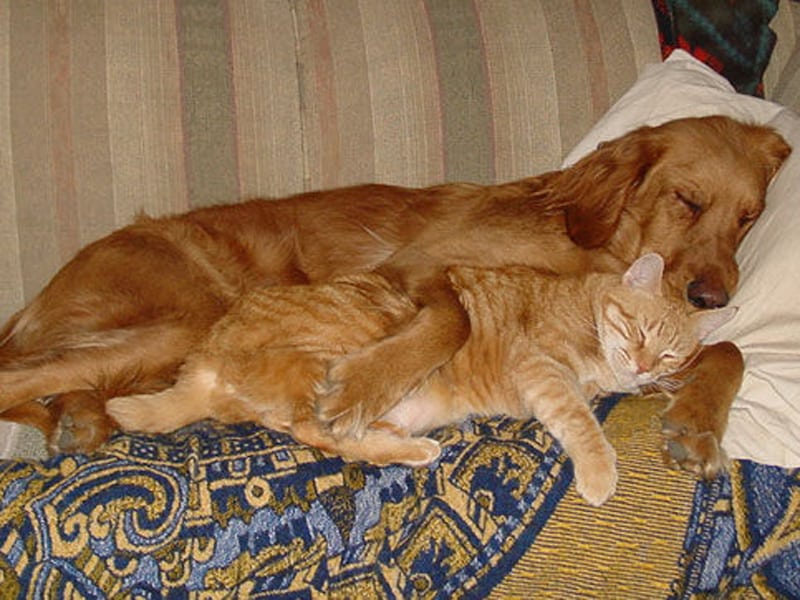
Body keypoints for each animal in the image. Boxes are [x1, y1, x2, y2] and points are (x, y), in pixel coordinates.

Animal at [0, 115, 792, 476]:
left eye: (749, 215)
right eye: (687, 200)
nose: (713, 292)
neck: (593, 243)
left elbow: (724, 349)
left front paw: (698, 423)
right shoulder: (422, 266)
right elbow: (451, 320)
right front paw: (362, 387)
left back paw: (80, 419)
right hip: (182, 318)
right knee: (18, 374)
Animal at [106, 253, 732, 506]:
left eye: (671, 353)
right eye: (641, 328)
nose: (646, 366)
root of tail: (205, 358)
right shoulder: (540, 367)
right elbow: (579, 420)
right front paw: (600, 472)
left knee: (319, 432)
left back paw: (403, 445)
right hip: (339, 345)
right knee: (319, 426)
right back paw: (407, 446)